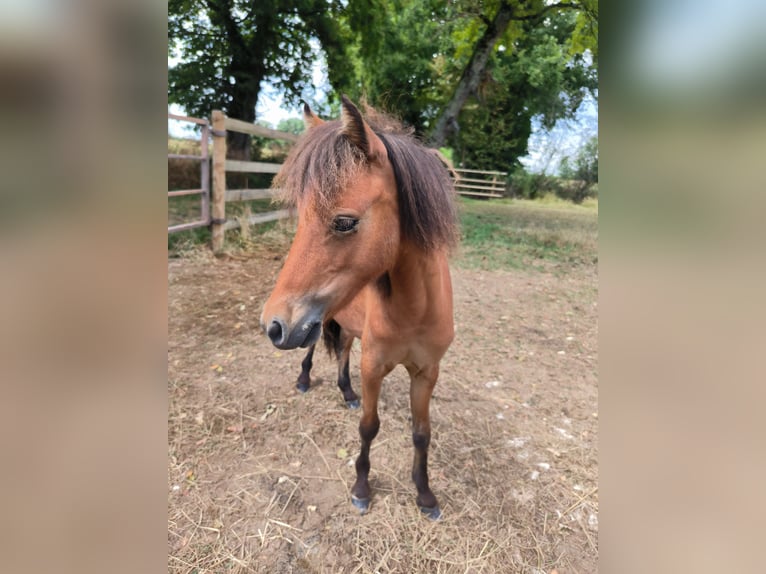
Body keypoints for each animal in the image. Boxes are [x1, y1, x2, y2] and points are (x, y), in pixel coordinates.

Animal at [260, 96, 458, 519]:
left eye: (345, 222)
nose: (273, 325)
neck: (414, 310)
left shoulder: (427, 373)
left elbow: (422, 433)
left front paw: (425, 495)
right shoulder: (374, 366)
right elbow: (369, 426)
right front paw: (362, 488)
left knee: (343, 350)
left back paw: (346, 392)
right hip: (319, 323)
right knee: (316, 350)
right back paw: (305, 380)